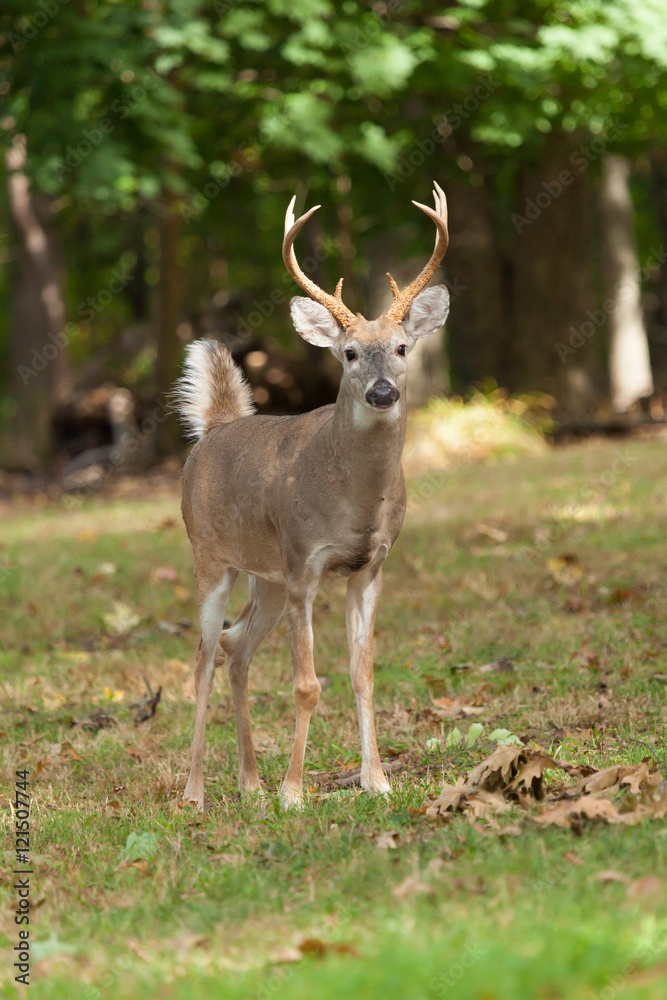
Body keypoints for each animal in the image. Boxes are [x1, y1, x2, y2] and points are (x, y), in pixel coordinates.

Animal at [175, 180, 452, 808]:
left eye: (402, 347)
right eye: (348, 353)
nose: (381, 392)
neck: (353, 501)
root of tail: (214, 429)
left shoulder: (369, 565)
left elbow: (363, 672)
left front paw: (377, 782)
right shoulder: (304, 561)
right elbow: (306, 684)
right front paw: (294, 792)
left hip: (267, 576)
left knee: (235, 648)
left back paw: (249, 783)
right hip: (210, 556)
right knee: (202, 655)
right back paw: (196, 792)